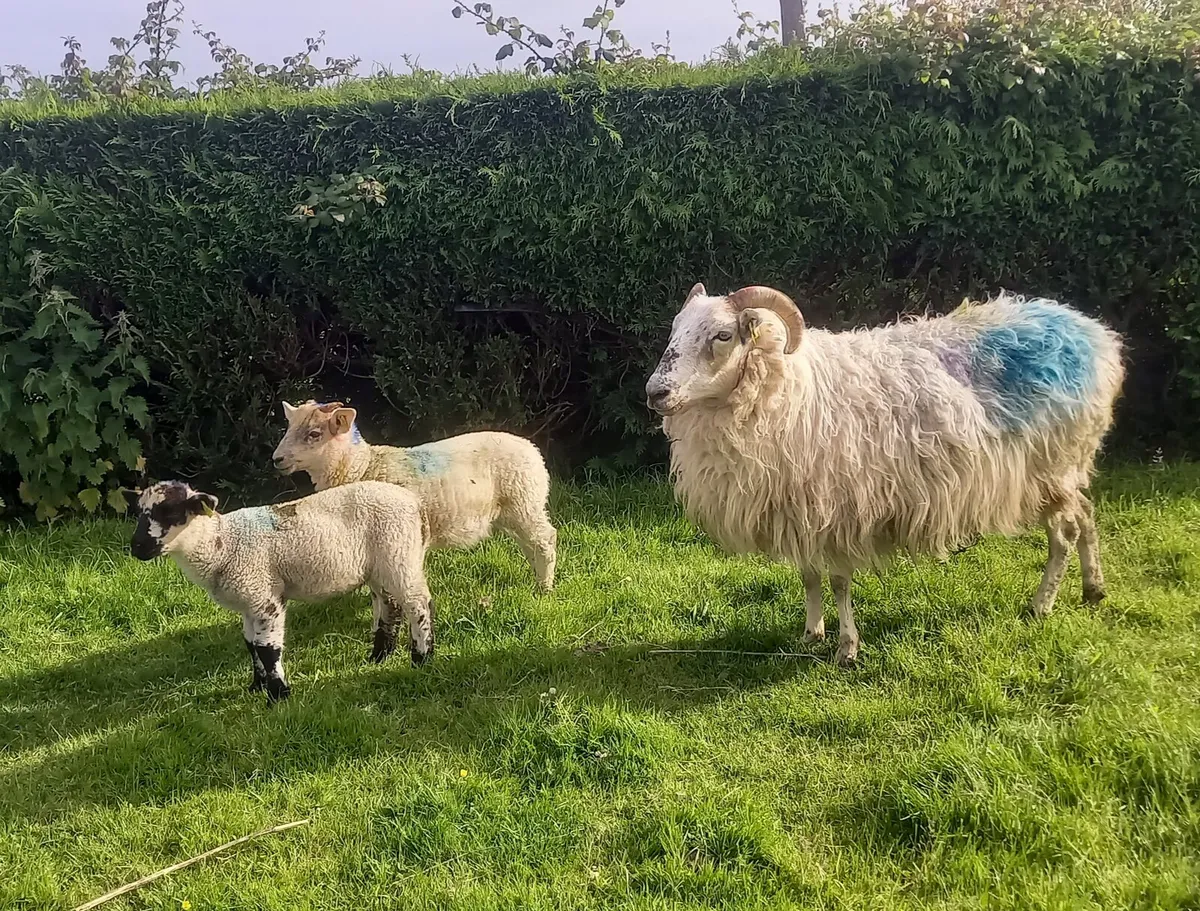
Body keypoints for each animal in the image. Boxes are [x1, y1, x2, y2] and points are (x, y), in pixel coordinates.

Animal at [125, 479, 434, 702]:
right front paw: (256, 686)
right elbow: (250, 644)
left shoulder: (265, 598)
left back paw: (421, 658)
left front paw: (278, 696)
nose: (136, 547)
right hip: (381, 565)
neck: (221, 545)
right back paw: (380, 656)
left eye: (170, 512)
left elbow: (268, 648)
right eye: (139, 513)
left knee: (418, 604)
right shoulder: (250, 598)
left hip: (398, 553)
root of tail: (417, 505)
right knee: (390, 604)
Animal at [271, 401, 557, 591]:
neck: (362, 466)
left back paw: (544, 587)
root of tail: (531, 449)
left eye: (314, 434)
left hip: (524, 501)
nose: (276, 459)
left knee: (545, 540)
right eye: (289, 428)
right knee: (529, 544)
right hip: (510, 510)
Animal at [645, 283, 1124, 666]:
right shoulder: (800, 509)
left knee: (1064, 533)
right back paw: (1093, 589)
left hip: (1053, 465)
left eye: (723, 335)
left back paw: (1041, 605)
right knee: (1086, 514)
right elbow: (809, 576)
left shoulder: (835, 510)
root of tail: (1092, 334)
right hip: (1066, 469)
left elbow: (839, 582)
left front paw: (847, 648)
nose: (655, 392)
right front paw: (811, 634)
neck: (786, 388)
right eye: (675, 330)